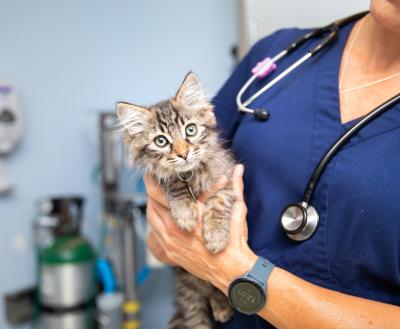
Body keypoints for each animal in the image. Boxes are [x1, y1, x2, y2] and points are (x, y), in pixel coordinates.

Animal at [116, 72, 234, 328]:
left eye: (190, 130)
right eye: (161, 141)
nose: (183, 153)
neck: (193, 175)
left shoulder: (228, 176)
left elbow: (218, 201)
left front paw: (216, 236)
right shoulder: (160, 179)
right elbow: (174, 182)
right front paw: (185, 213)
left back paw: (222, 307)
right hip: (187, 288)